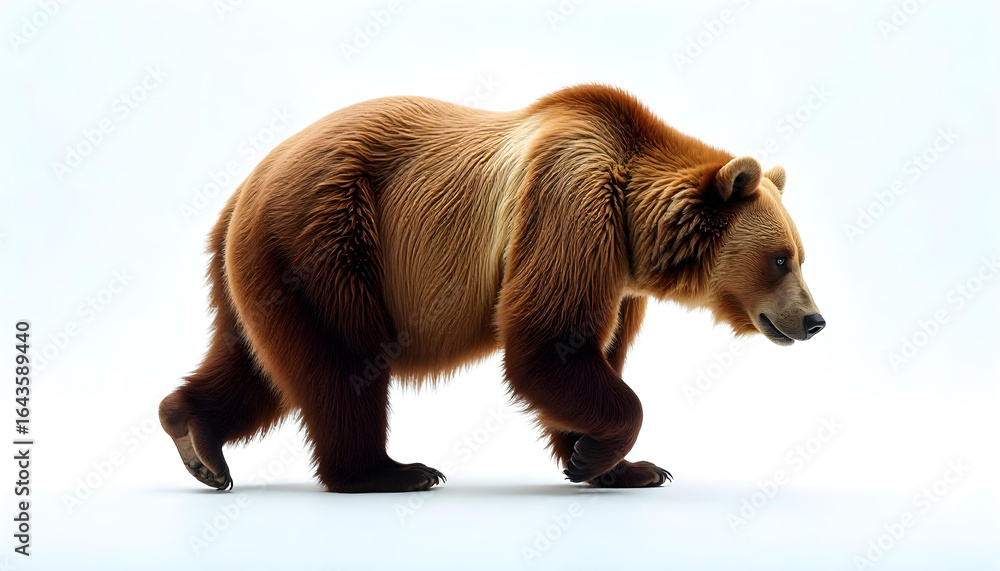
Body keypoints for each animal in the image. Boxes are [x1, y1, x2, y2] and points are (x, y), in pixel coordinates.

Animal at [159, 84, 825, 493]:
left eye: (800, 255)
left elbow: (592, 354)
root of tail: (244, 186)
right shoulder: (569, 203)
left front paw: (617, 464)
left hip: (263, 271)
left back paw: (196, 438)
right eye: (780, 259)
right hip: (325, 238)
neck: (636, 227)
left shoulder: (617, 276)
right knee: (345, 362)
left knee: (255, 365)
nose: (815, 320)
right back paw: (390, 470)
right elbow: (546, 344)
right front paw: (602, 454)